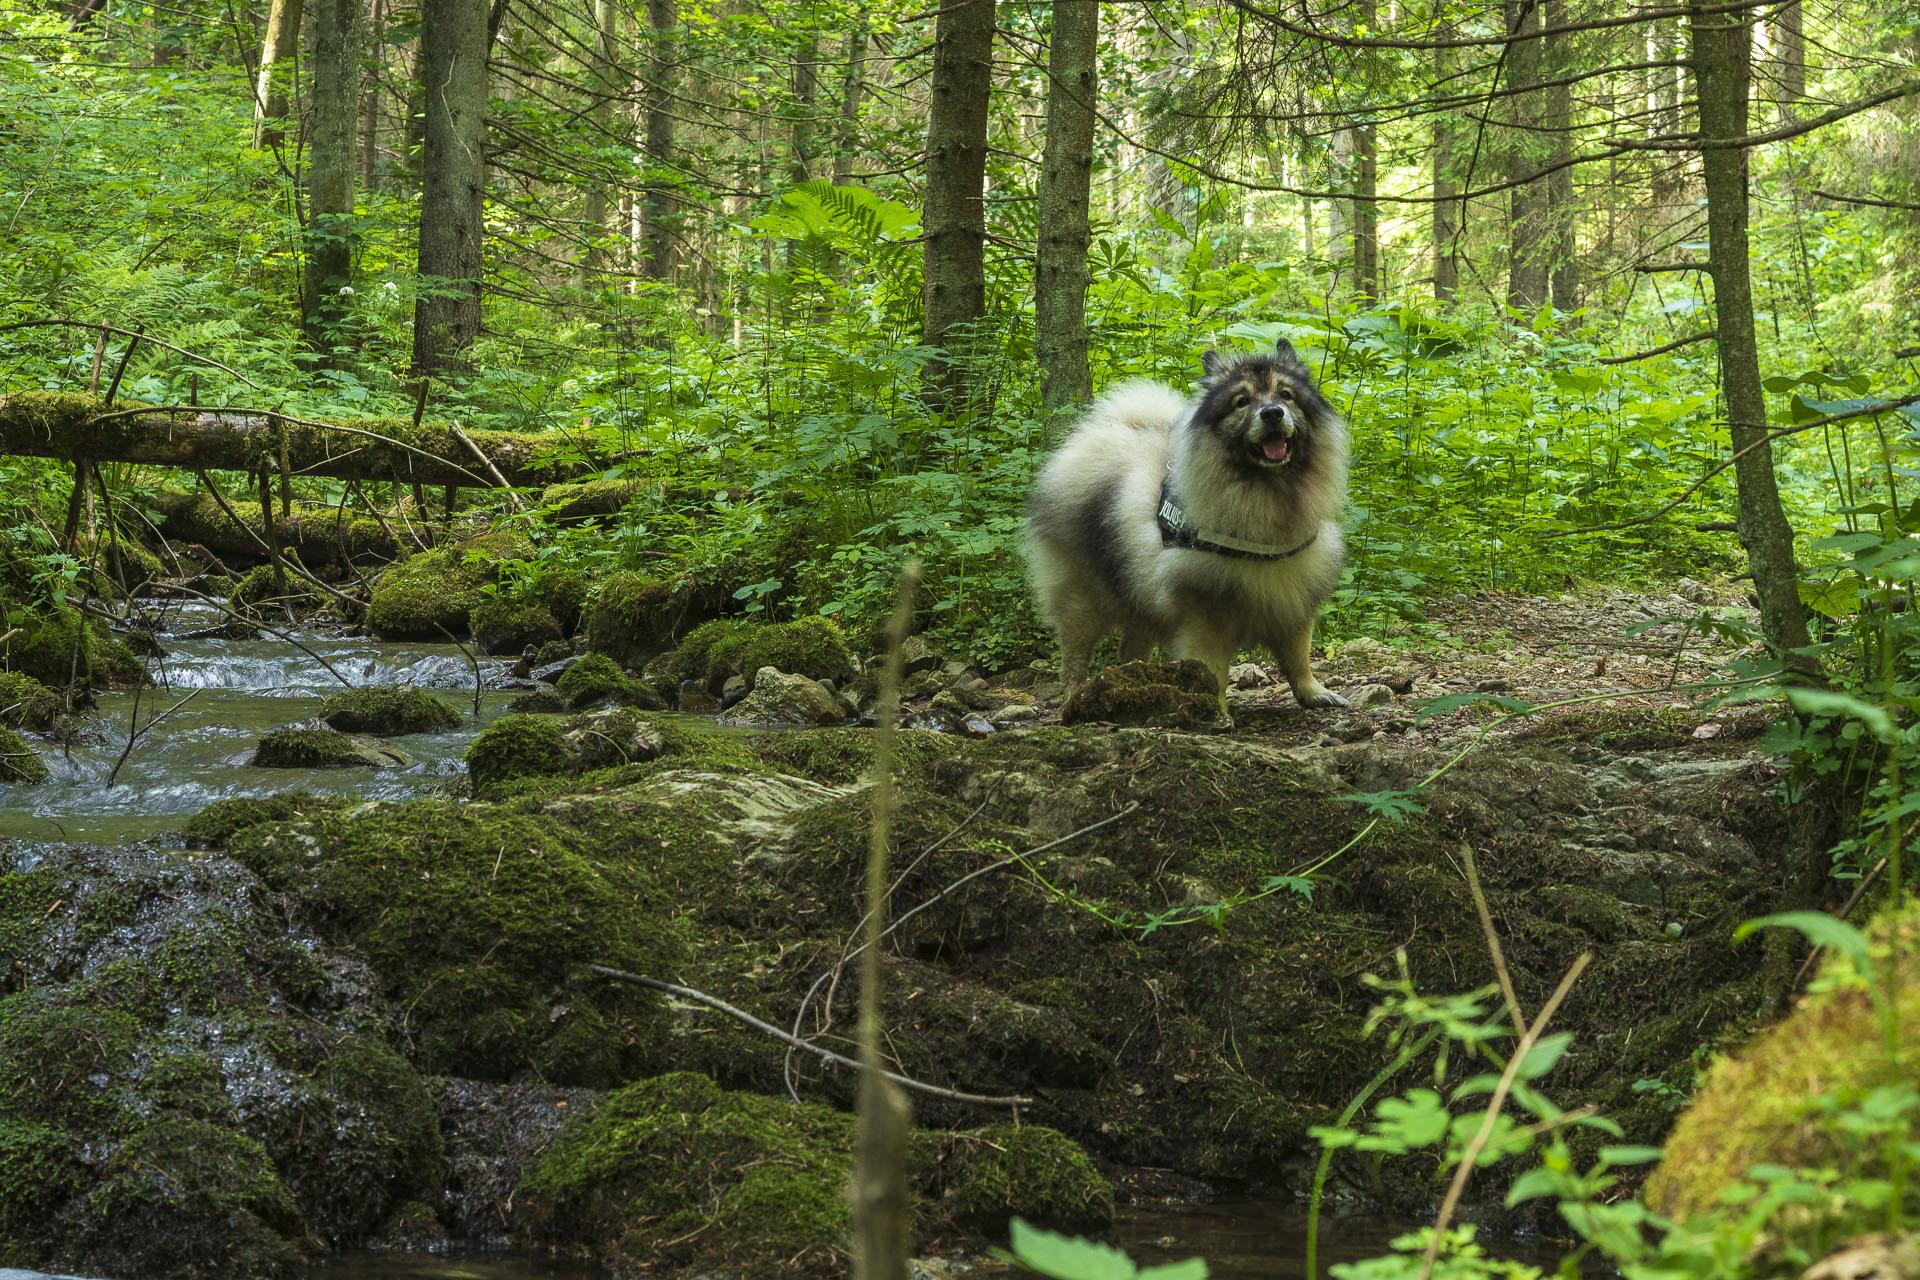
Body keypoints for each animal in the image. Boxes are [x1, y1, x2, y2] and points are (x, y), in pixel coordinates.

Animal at [1021, 339, 1351, 717]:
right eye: (1242, 401)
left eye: (1286, 395)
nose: (1272, 413)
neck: (1268, 494)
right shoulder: (1206, 613)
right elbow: (1213, 669)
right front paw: (1217, 711)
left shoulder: (1294, 596)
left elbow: (1299, 657)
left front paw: (1313, 692)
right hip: (1083, 596)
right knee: (1074, 656)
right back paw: (1075, 698)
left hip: (1140, 591)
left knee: (1132, 646)